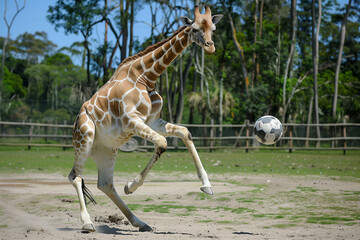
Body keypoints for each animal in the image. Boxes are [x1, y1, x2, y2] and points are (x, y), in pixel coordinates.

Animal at [68, 5, 222, 232]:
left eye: (213, 28)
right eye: (194, 28)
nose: (210, 47)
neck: (146, 76)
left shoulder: (152, 120)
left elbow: (185, 132)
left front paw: (207, 185)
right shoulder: (131, 120)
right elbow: (163, 143)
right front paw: (131, 186)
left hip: (105, 149)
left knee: (105, 184)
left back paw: (140, 222)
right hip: (85, 138)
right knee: (75, 176)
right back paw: (88, 223)